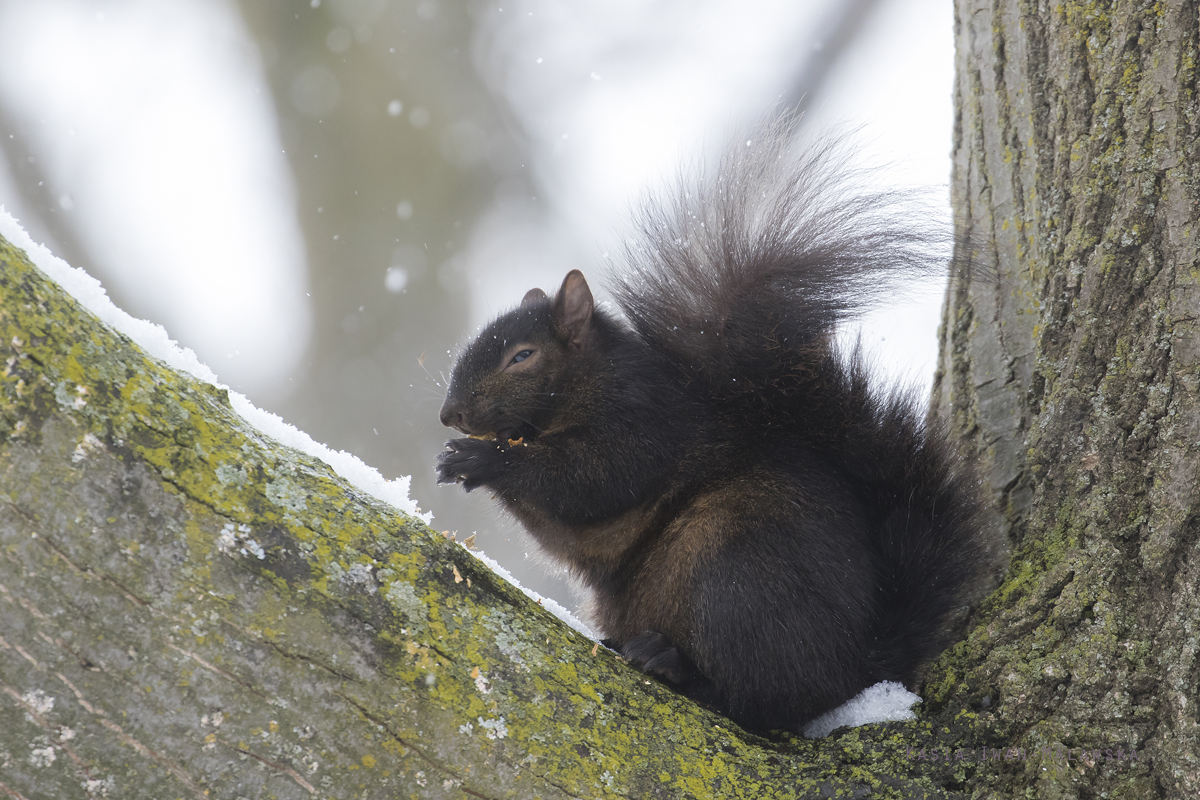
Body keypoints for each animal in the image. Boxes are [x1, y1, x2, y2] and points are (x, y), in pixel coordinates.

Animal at [436, 123, 979, 734]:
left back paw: (679, 671)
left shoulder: (645, 426)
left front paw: (481, 459)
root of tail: (858, 667)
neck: (585, 387)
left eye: (522, 357)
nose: (450, 414)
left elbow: (588, 482)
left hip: (734, 576)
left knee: (765, 702)